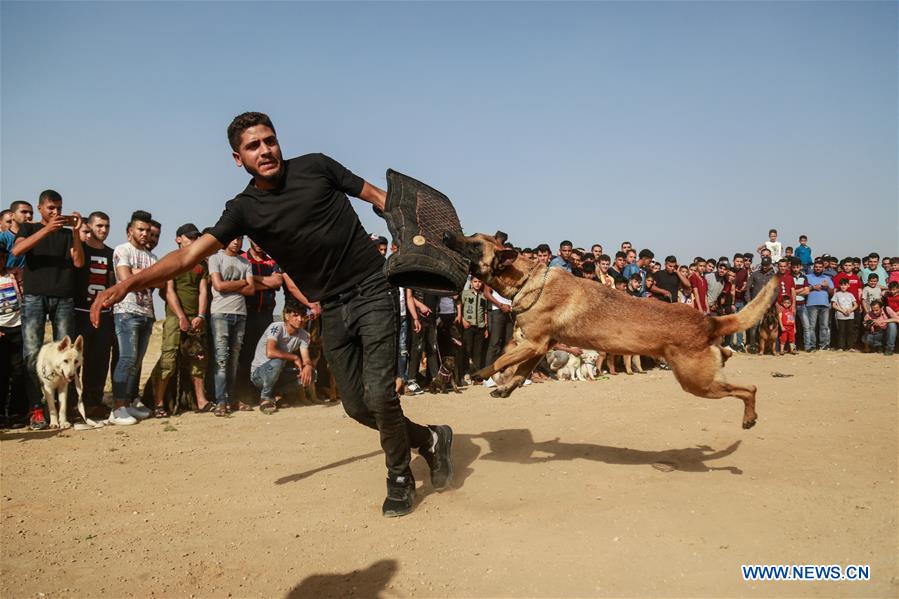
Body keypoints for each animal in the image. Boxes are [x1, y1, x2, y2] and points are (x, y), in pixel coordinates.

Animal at [444, 232, 780, 428]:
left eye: (473, 245)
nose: (447, 233)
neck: (528, 279)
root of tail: (708, 320)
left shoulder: (536, 344)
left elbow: (503, 361)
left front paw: (481, 374)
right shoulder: (539, 346)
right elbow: (517, 370)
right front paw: (504, 387)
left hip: (697, 382)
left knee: (749, 388)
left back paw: (749, 416)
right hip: (701, 377)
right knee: (735, 371)